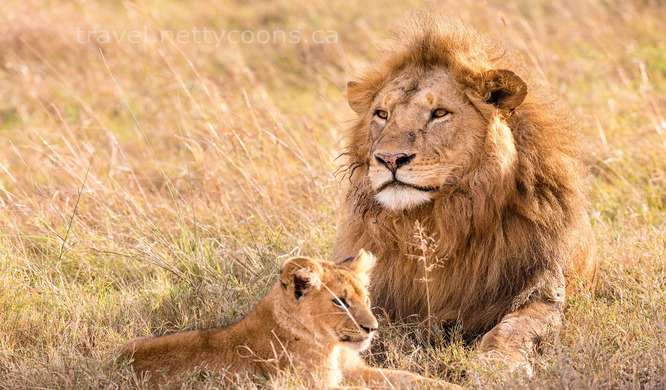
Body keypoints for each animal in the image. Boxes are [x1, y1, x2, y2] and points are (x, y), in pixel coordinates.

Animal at [332, 13, 596, 370]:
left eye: (440, 113)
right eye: (382, 114)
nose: (389, 159)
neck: (437, 222)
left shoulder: (541, 289)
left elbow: (513, 328)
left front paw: (499, 366)